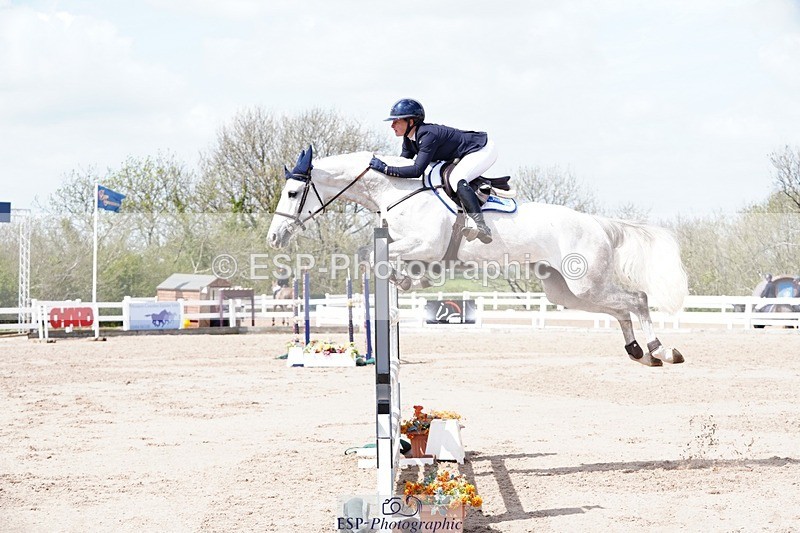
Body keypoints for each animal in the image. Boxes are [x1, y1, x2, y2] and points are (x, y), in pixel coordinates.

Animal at [267, 147, 688, 366]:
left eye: (292, 193)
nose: (274, 237)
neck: (396, 191)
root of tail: (599, 223)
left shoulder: (424, 244)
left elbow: (371, 254)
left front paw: (406, 280)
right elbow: (374, 256)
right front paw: (410, 280)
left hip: (585, 282)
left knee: (637, 299)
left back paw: (661, 349)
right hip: (566, 290)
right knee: (620, 309)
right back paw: (638, 351)